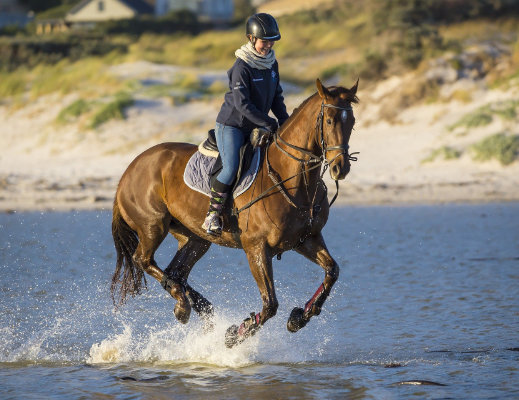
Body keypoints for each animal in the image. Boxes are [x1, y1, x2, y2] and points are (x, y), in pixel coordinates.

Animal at [111, 78, 360, 346]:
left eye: (352, 122)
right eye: (330, 121)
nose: (340, 167)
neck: (292, 179)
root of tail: (129, 170)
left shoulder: (306, 239)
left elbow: (332, 271)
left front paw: (299, 318)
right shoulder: (256, 248)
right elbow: (270, 304)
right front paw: (236, 334)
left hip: (195, 238)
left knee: (175, 272)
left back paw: (197, 308)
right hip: (152, 226)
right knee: (143, 260)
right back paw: (184, 306)